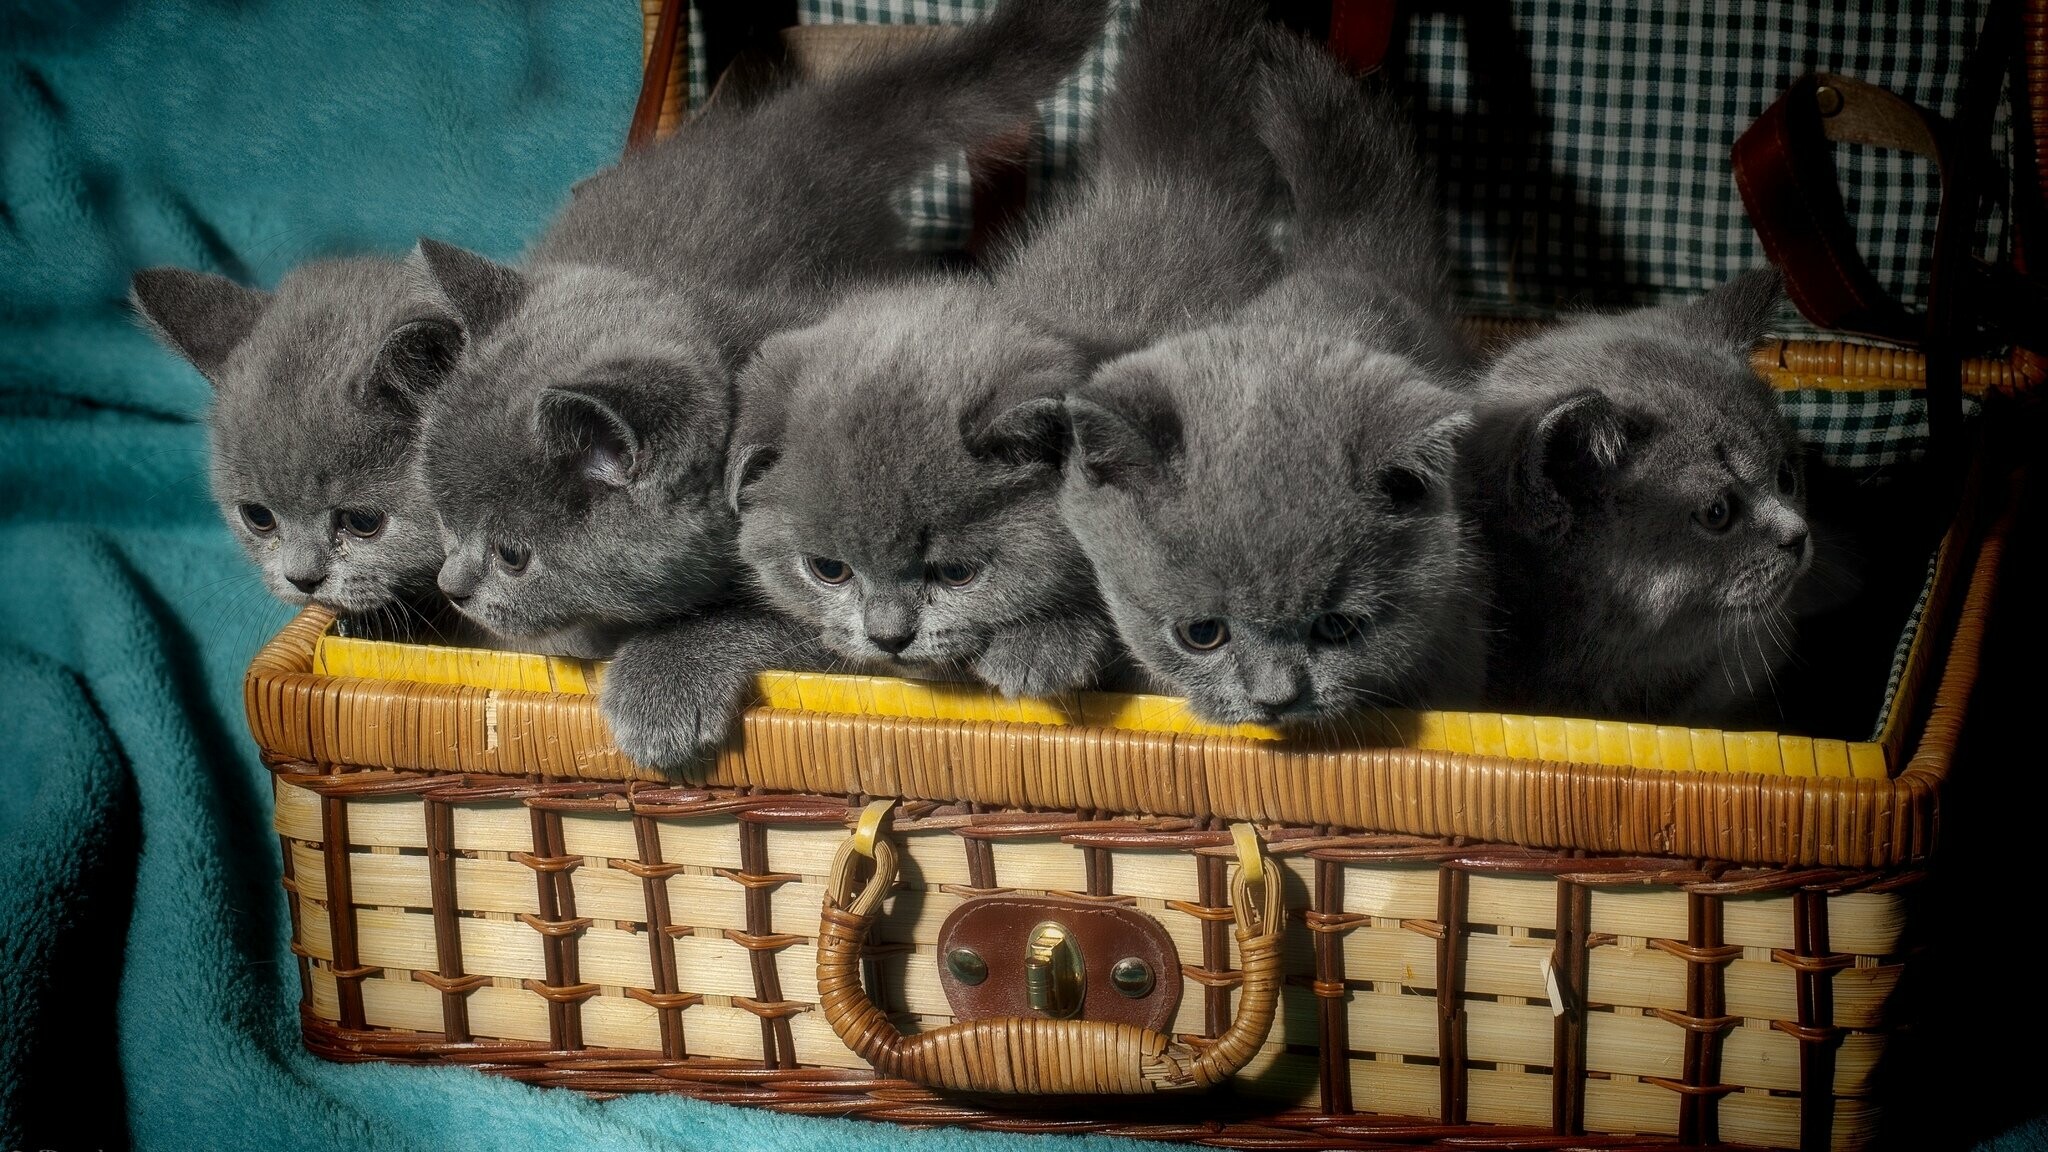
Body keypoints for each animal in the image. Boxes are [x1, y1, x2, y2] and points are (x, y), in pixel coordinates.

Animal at [403, 2, 1105, 770]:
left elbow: (752, 620)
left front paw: (659, 683)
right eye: (443, 518)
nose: (451, 586)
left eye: (513, 555)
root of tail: (785, 132)